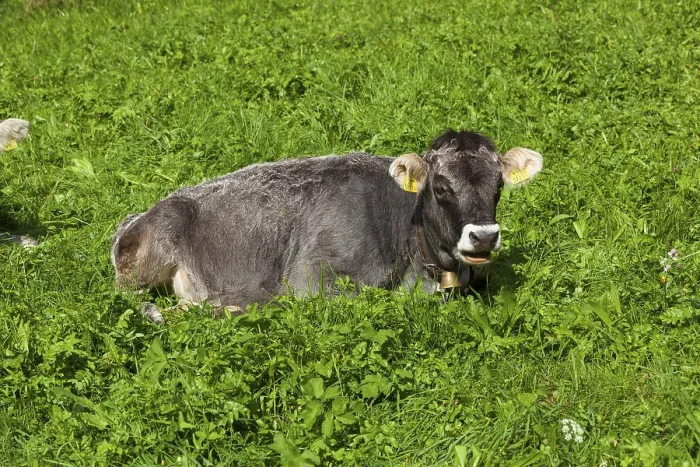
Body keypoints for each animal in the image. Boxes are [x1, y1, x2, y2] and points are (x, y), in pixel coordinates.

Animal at [112, 130, 542, 323]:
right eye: (440, 188)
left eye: (498, 187)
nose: (484, 236)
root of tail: (136, 217)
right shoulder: (311, 279)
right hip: (145, 263)